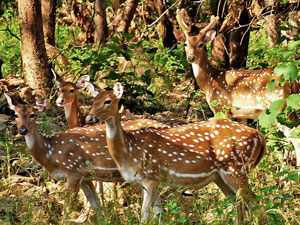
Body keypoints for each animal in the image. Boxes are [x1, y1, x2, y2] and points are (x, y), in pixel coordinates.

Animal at [85, 83, 266, 224]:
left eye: (108, 101)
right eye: (93, 101)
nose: (89, 118)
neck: (129, 152)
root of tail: (259, 137)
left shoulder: (151, 176)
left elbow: (145, 215)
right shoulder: (152, 182)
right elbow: (159, 214)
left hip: (236, 169)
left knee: (255, 204)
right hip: (220, 177)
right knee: (240, 203)